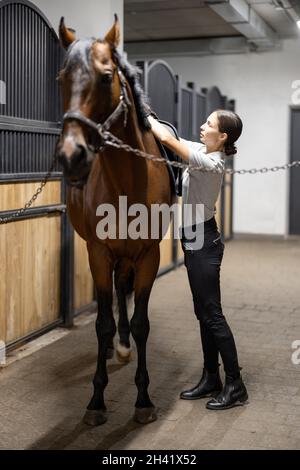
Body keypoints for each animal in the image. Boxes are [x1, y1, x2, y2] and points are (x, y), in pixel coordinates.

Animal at [56, 15, 173, 426]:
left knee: (124, 294)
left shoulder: (150, 255)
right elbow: (102, 321)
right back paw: (112, 349)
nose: (71, 156)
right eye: (61, 78)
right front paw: (96, 401)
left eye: (106, 77)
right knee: (112, 301)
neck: (127, 181)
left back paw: (121, 348)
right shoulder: (98, 252)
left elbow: (141, 323)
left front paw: (143, 399)